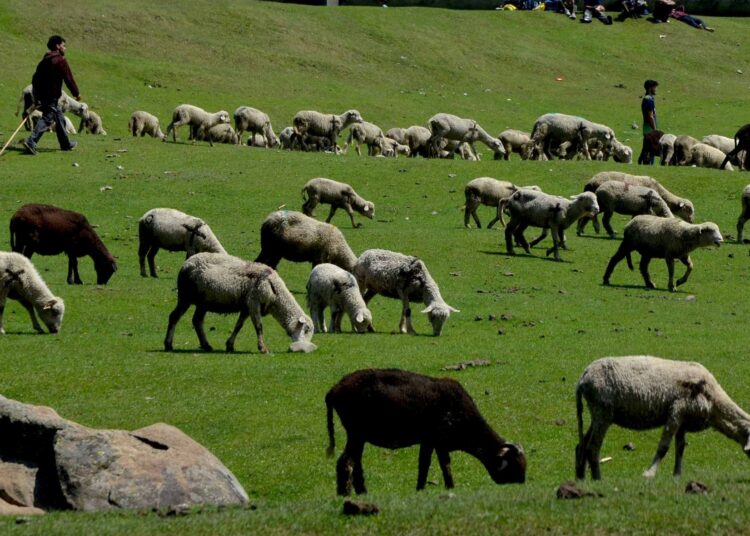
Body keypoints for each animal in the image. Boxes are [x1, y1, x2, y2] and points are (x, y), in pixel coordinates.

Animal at [164, 252, 316, 354]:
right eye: (307, 329)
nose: (306, 349)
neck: (275, 293)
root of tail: (186, 263)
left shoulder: (246, 307)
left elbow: (238, 326)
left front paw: (230, 345)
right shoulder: (254, 302)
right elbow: (259, 327)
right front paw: (263, 348)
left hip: (203, 302)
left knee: (197, 321)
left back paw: (206, 345)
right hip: (185, 296)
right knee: (174, 317)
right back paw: (168, 345)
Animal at [326, 368, 526, 495]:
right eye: (514, 466)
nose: (522, 485)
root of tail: (334, 389)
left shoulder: (432, 442)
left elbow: (432, 465)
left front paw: (427, 488)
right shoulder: (436, 440)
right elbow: (437, 465)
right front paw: (442, 488)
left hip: (358, 436)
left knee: (355, 463)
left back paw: (362, 493)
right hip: (356, 433)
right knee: (346, 462)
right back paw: (346, 494)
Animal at [576, 355, 750, 480]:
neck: (714, 402)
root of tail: (583, 378)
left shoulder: (683, 420)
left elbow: (680, 448)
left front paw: (677, 475)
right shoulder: (676, 411)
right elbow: (663, 447)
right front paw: (649, 474)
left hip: (597, 414)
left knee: (582, 444)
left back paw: (581, 477)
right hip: (602, 412)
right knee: (593, 447)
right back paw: (598, 479)